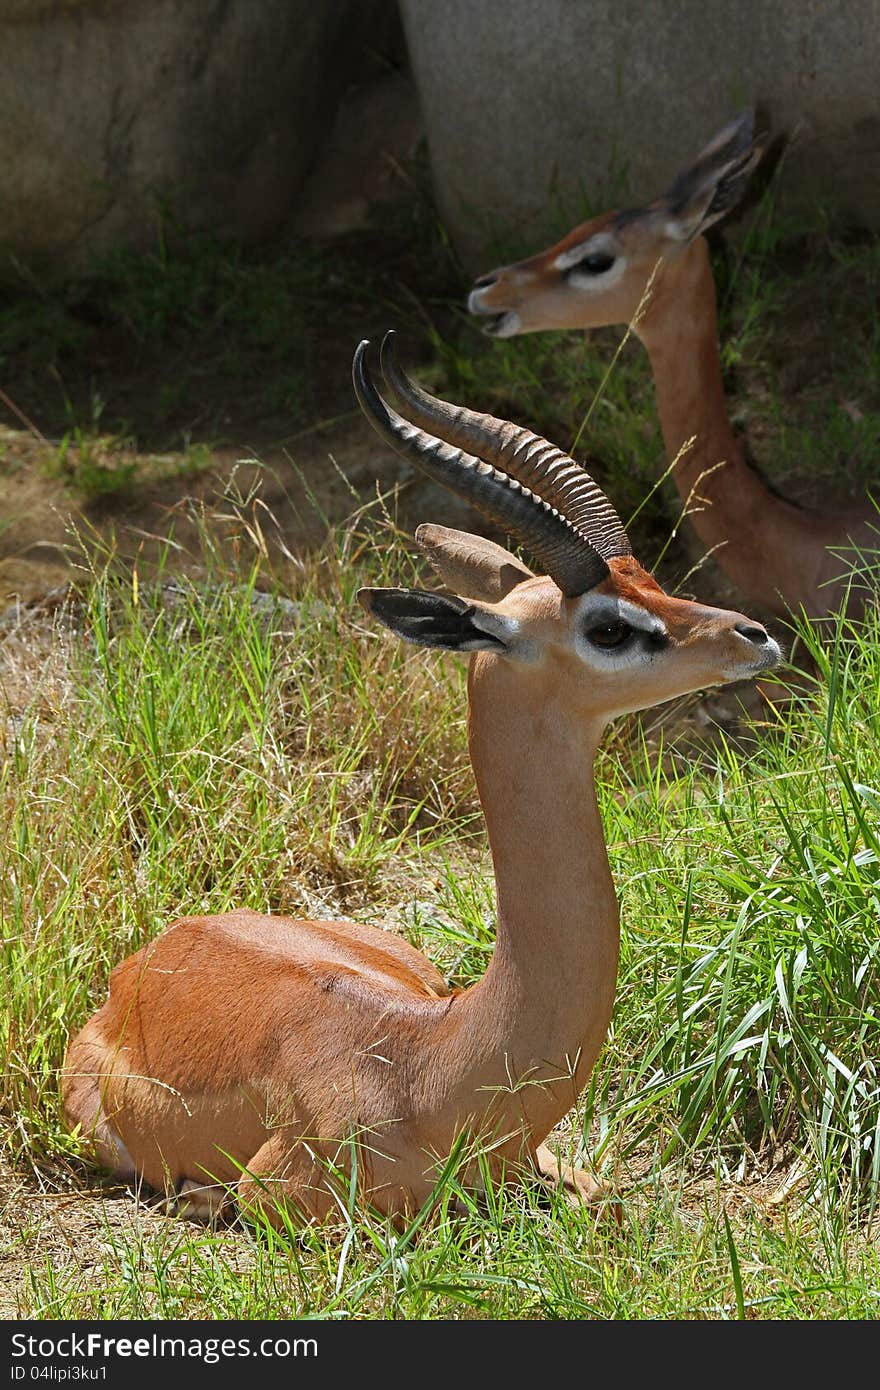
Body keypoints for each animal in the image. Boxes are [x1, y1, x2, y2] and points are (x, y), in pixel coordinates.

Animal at [60, 330, 772, 1223]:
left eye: (649, 575)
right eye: (608, 626)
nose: (754, 635)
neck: (433, 1068)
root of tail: (151, 954)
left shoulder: (561, 1170)